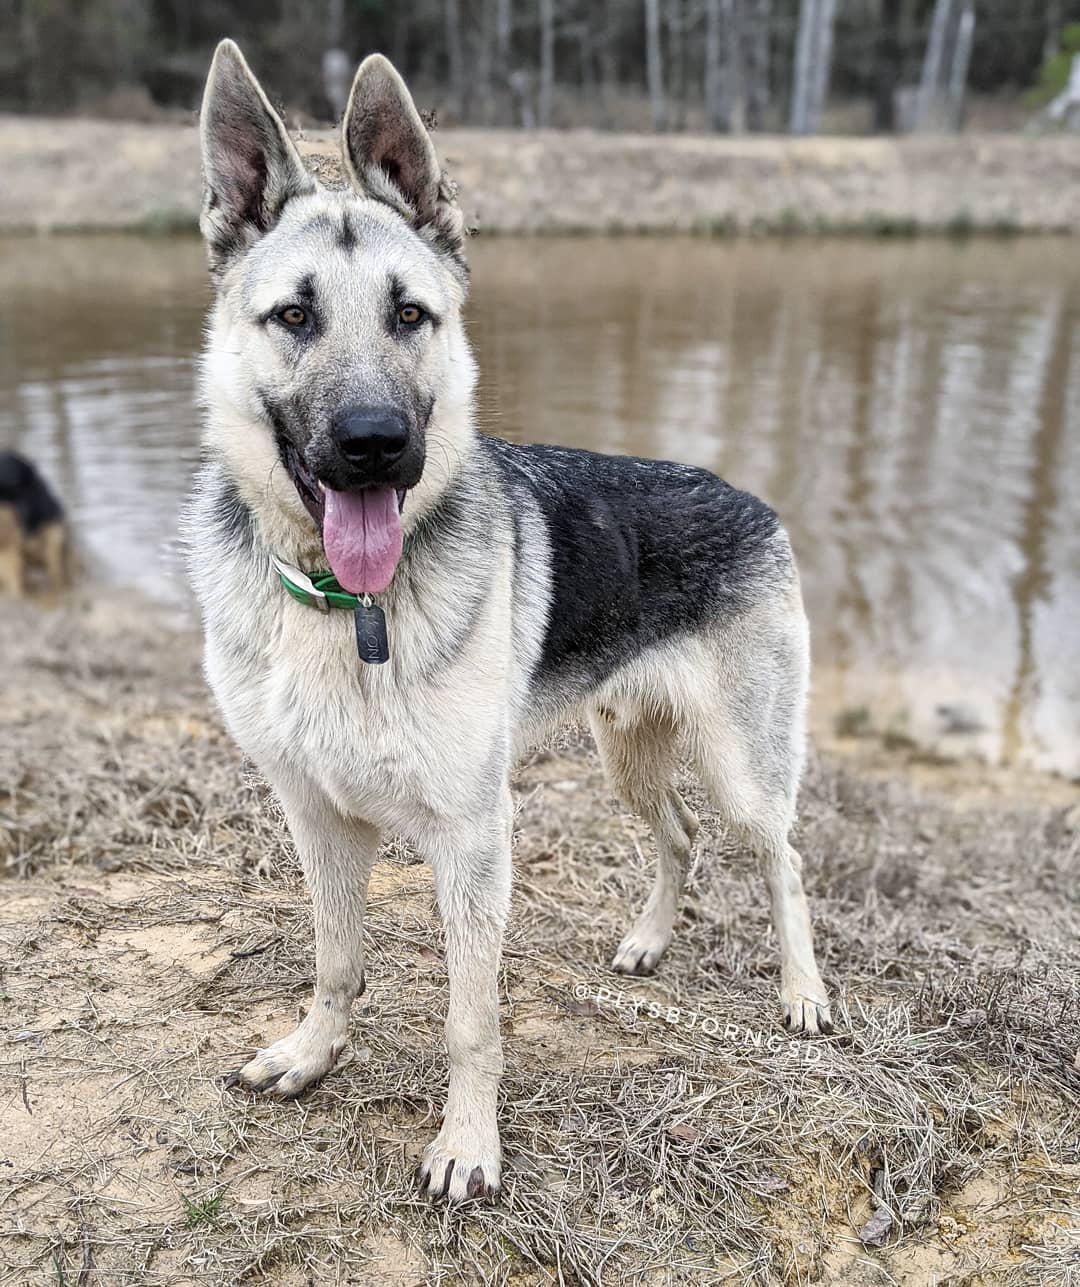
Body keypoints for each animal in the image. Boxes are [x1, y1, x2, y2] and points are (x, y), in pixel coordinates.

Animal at [185, 40, 834, 1204]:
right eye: (294, 316)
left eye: (410, 315)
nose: (374, 445)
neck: (352, 607)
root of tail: (748, 496)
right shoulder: (316, 818)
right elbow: (337, 960)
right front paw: (315, 1052)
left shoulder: (473, 840)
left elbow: (470, 1019)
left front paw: (467, 1143)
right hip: (627, 752)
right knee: (677, 839)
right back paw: (649, 941)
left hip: (741, 767)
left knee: (782, 860)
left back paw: (803, 991)